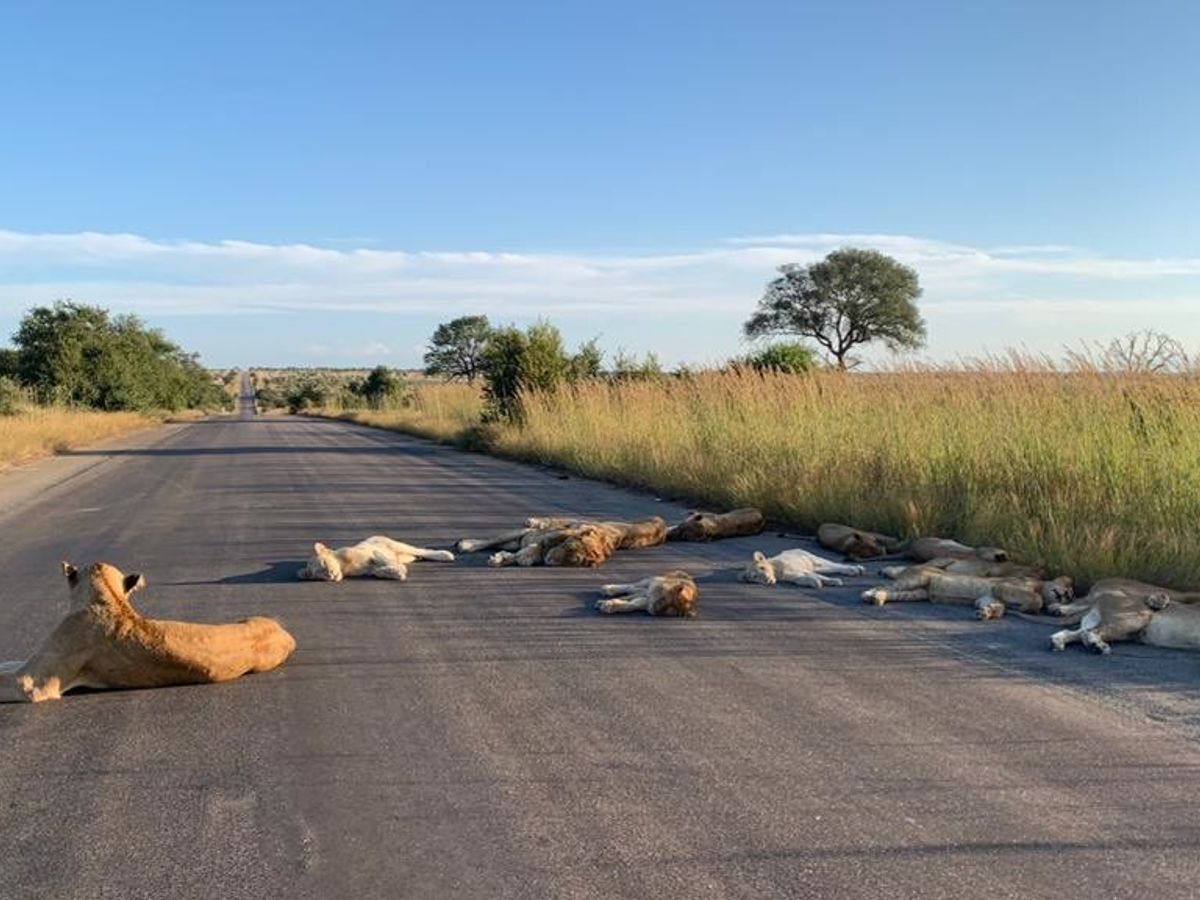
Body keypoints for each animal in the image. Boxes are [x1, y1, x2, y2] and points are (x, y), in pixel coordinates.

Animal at [295, 535, 453, 585]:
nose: (329, 575)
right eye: (318, 575)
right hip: (406, 556)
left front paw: (396, 570)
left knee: (423, 550)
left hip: (398, 545)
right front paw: (389, 572)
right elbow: (379, 571)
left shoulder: (370, 552)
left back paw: (446, 555)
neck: (344, 567)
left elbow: (383, 559)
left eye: (324, 563)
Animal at [734, 549, 868, 592]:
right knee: (831, 568)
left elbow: (821, 577)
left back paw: (856, 569)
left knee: (837, 565)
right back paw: (855, 570)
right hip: (818, 567)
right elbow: (808, 578)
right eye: (754, 577)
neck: (777, 572)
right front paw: (815, 583)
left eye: (762, 568)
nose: (767, 579)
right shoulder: (795, 577)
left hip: (816, 560)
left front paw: (834, 581)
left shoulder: (801, 569)